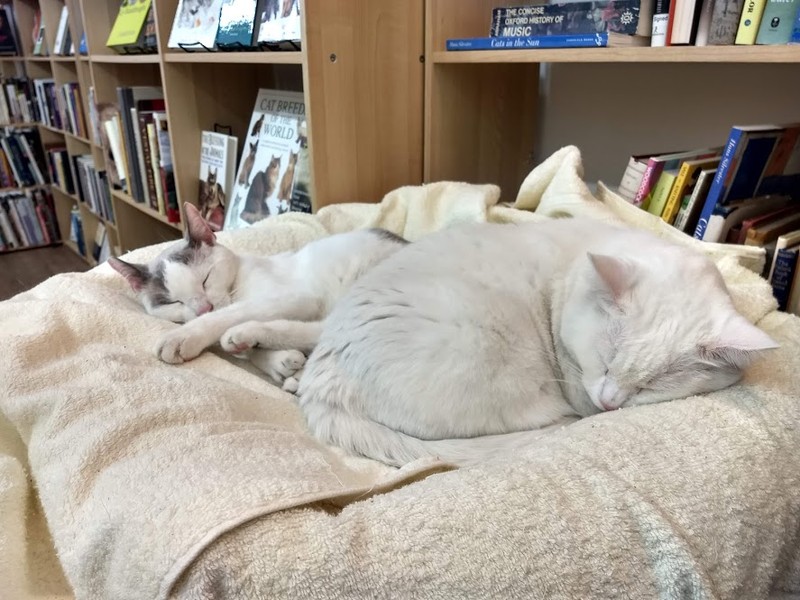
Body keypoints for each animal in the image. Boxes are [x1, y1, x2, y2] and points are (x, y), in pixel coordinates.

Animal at [108, 202, 406, 390]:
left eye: (206, 278)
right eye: (173, 302)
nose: (204, 307)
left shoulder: (297, 297)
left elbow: (229, 315)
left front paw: (185, 336)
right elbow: (249, 352)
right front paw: (279, 361)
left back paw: (246, 334)